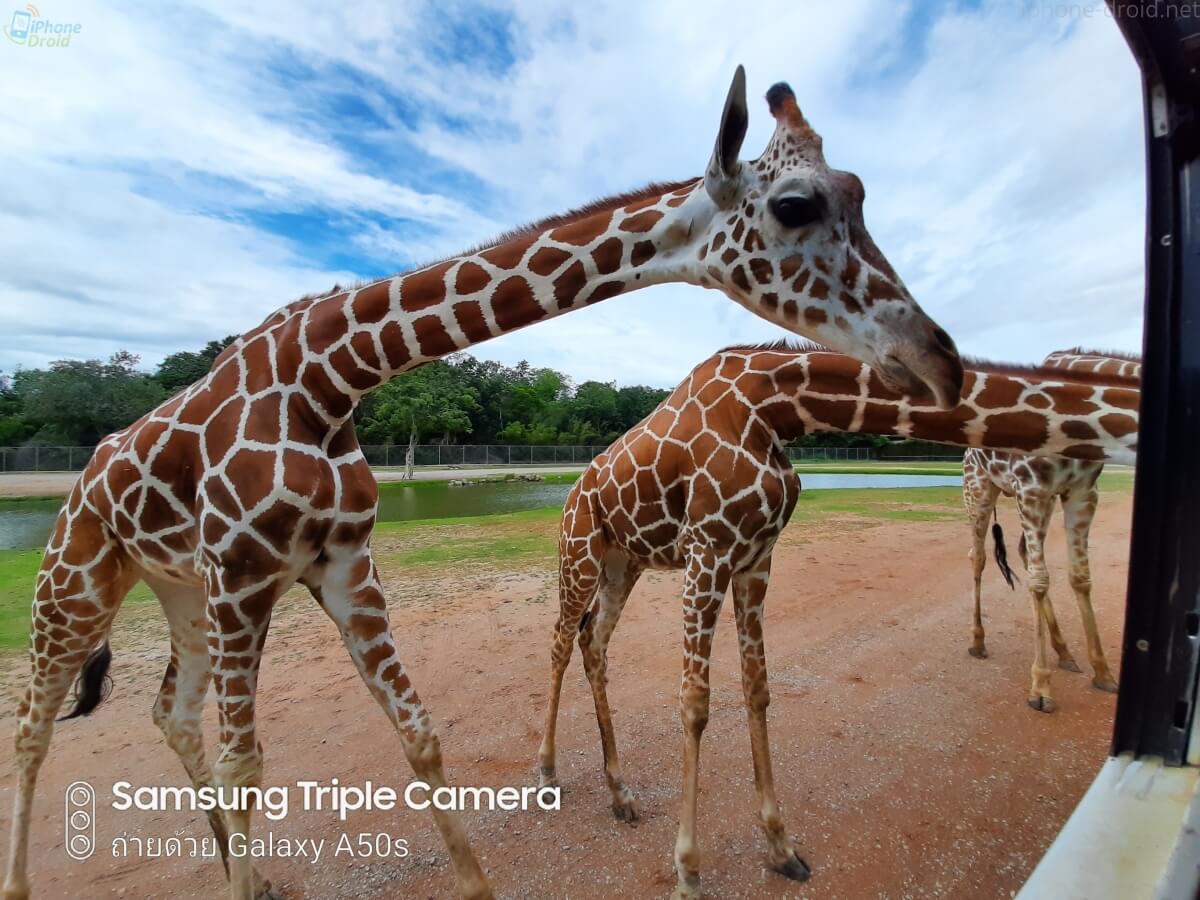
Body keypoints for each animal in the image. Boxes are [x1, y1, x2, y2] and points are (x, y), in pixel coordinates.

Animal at [0, 68, 960, 900]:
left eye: (860, 190)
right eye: (797, 205)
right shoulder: (244, 571)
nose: (938, 358)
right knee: (35, 723)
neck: (327, 378)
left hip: (180, 591)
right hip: (81, 582)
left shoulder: (339, 565)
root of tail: (79, 489)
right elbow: (249, 767)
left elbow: (421, 735)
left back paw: (254, 872)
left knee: (169, 711)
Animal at [960, 348, 1137, 715]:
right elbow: (1039, 580)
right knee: (978, 556)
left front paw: (1103, 673)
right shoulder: (1033, 488)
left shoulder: (1082, 492)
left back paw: (1065, 652)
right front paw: (1041, 688)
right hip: (979, 489)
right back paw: (978, 641)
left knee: (1023, 553)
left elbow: (1080, 577)